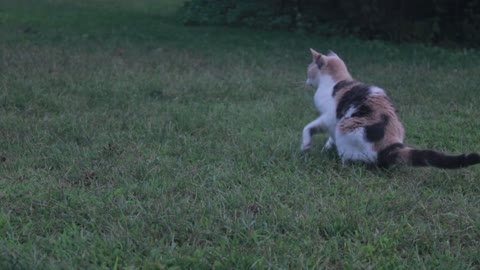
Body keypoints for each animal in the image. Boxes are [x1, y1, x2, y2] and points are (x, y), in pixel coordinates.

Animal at [302, 47, 480, 168]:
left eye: (308, 69)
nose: (306, 80)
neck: (339, 80)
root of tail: (390, 145)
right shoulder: (332, 122)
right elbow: (328, 136)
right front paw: (326, 147)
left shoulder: (329, 117)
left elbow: (309, 127)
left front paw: (305, 147)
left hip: (346, 128)